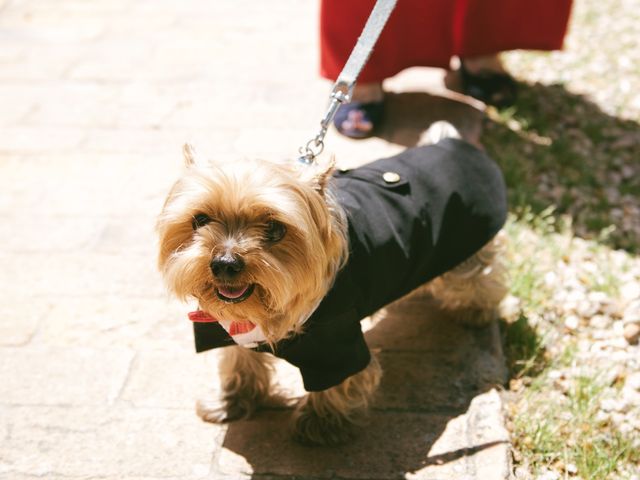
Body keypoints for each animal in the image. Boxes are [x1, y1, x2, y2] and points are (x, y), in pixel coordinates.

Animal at [155, 122, 504, 444]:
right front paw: (232, 400)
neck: (260, 314)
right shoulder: (227, 326)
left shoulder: (336, 338)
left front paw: (320, 425)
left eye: (275, 229)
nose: (225, 264)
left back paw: (477, 312)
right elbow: (239, 359)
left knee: (477, 277)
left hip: (467, 246)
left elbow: (339, 380)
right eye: (200, 220)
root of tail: (452, 143)